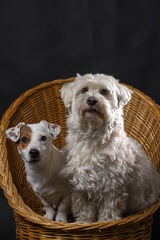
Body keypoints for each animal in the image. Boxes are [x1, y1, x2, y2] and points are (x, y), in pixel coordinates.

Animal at [60, 73, 160, 223]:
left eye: (104, 92)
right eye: (84, 90)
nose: (92, 100)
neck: (93, 138)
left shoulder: (113, 185)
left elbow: (110, 209)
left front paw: (106, 222)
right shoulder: (79, 186)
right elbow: (83, 208)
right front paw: (84, 222)